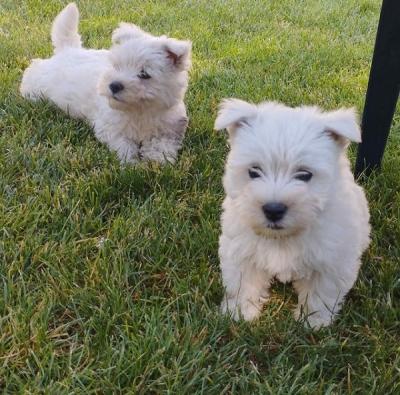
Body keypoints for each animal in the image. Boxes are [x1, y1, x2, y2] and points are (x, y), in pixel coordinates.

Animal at [19, 3, 191, 164]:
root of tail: (68, 49)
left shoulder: (170, 129)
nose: (114, 85)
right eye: (116, 66)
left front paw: (156, 163)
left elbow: (161, 146)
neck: (139, 111)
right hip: (41, 80)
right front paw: (132, 164)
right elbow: (124, 144)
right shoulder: (109, 127)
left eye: (144, 74)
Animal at [214, 100, 370, 332]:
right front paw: (241, 314)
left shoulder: (332, 261)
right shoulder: (241, 251)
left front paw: (313, 322)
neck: (283, 238)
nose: (273, 209)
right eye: (253, 171)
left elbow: (321, 293)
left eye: (304, 175)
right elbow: (244, 284)